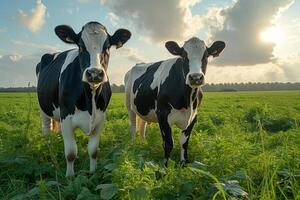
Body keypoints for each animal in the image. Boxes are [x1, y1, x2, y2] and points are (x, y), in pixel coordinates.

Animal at [36, 21, 131, 176]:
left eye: (107, 47)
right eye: (80, 46)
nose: (94, 73)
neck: (89, 99)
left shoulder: (100, 119)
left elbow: (93, 151)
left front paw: (93, 172)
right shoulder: (66, 118)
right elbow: (70, 153)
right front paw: (69, 176)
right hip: (43, 109)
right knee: (46, 132)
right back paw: (50, 152)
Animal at [124, 36, 225, 165]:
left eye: (206, 56)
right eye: (184, 57)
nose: (195, 77)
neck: (187, 100)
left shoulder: (193, 117)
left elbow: (184, 143)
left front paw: (184, 163)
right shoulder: (162, 115)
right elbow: (168, 143)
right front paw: (165, 166)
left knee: (142, 126)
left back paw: (143, 143)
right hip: (129, 106)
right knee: (133, 127)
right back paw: (134, 146)